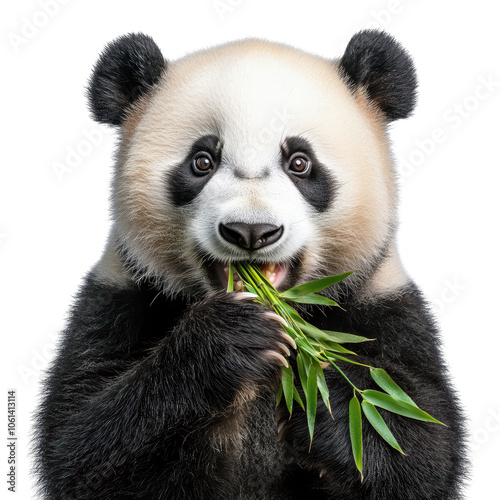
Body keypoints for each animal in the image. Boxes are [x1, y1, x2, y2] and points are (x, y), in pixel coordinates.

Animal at [35, 31, 464, 500]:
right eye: (202, 161)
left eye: (300, 163)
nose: (250, 232)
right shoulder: (121, 293)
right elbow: (81, 443)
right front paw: (229, 339)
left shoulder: (383, 304)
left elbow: (419, 441)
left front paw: (329, 393)